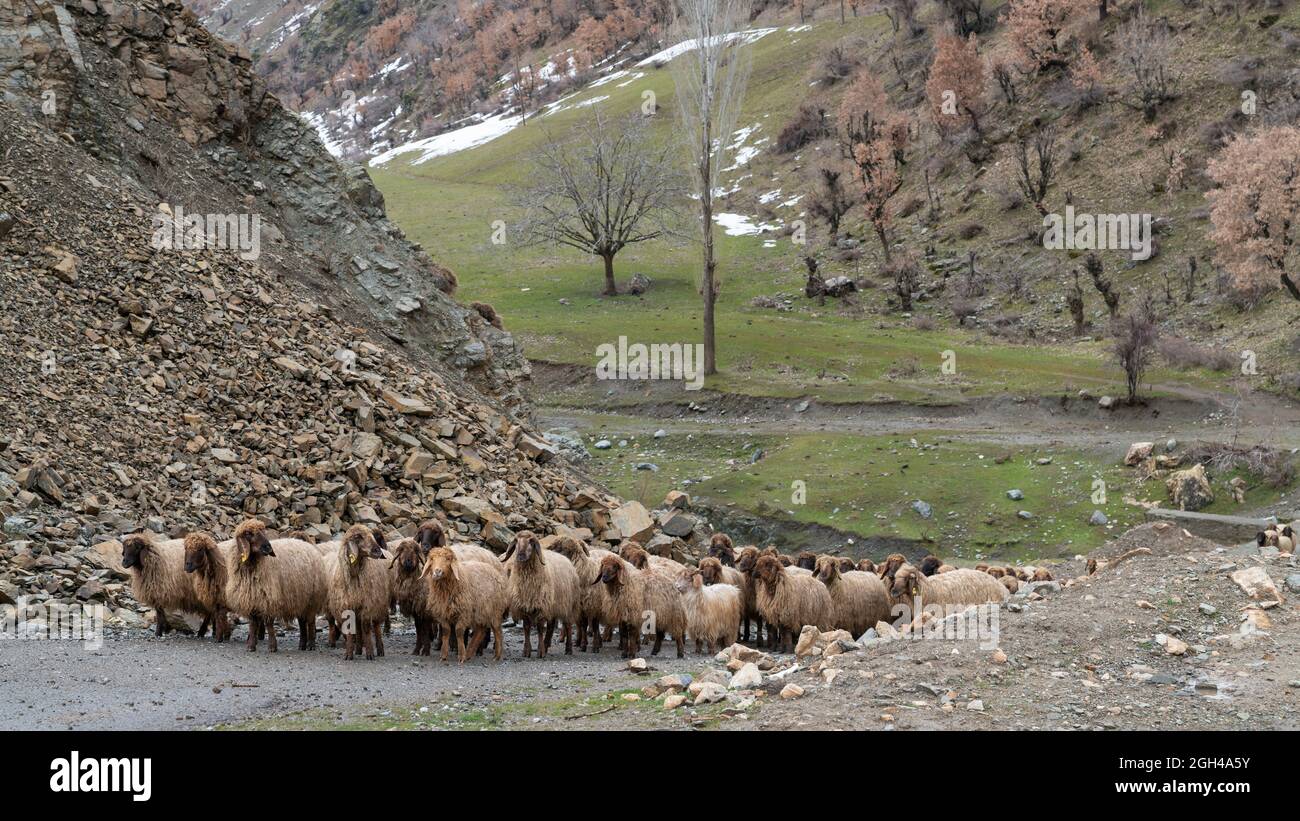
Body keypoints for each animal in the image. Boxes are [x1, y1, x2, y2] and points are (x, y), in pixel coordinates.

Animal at [224, 519, 328, 653]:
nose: (268, 547)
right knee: (301, 622)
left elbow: (269, 624)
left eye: (264, 531)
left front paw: (272, 646)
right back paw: (302, 645)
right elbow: (253, 624)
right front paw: (251, 646)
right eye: (248, 533)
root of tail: (308, 546)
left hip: (312, 599)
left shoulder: (270, 599)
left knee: (310, 622)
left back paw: (311, 644)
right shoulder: (252, 599)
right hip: (300, 598)